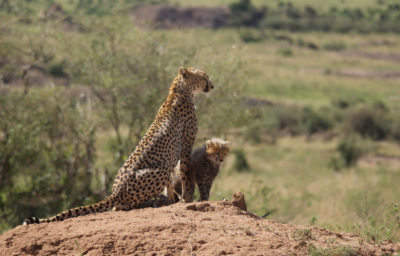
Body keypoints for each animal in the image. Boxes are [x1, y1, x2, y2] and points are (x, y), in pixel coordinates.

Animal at [23, 67, 214, 225]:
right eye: (204, 77)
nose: (212, 86)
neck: (179, 92)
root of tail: (116, 191)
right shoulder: (185, 147)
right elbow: (185, 173)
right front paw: (186, 198)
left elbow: (174, 182)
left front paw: (174, 198)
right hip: (160, 169)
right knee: (124, 205)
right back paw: (151, 201)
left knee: (117, 206)